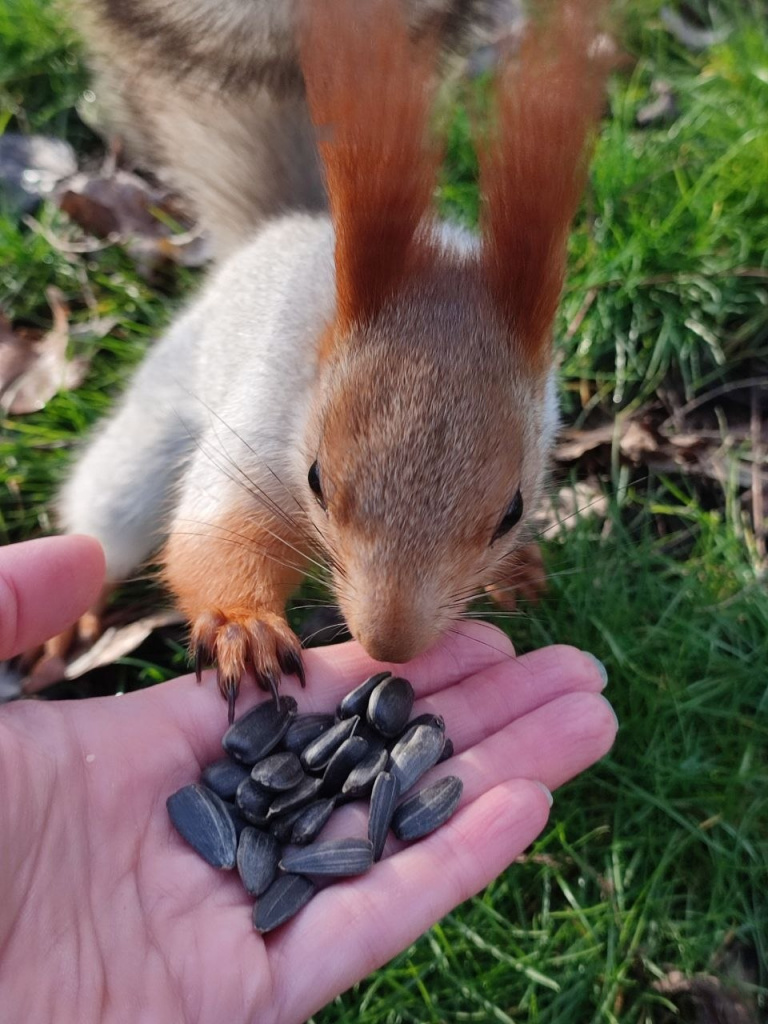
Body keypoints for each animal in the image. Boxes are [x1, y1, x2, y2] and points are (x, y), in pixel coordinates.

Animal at [55, 0, 609, 720]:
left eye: (512, 512)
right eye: (316, 479)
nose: (389, 644)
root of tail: (284, 228)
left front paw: (518, 570)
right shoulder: (260, 430)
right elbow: (214, 533)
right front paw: (243, 627)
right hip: (156, 419)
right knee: (106, 519)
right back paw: (76, 614)